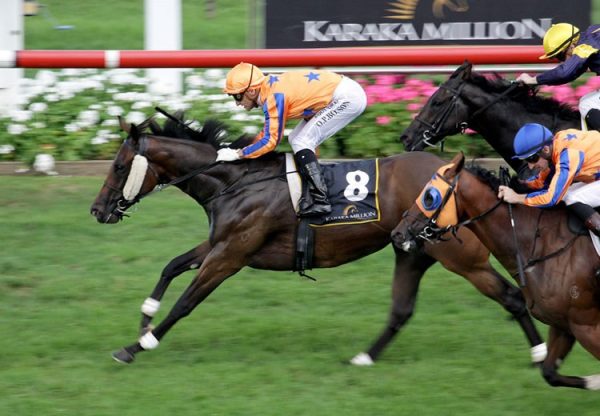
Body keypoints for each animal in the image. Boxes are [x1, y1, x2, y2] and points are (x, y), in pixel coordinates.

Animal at [392, 153, 600, 390]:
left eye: (429, 196)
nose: (397, 233)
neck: (540, 241)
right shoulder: (563, 324)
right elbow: (549, 373)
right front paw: (593, 381)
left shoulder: (587, 324)